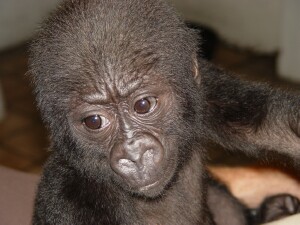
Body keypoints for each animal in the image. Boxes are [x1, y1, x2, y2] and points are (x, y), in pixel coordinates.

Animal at [29, 0, 300, 225]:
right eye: (94, 121)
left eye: (143, 105)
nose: (135, 155)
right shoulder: (67, 199)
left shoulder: (201, 87)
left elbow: (274, 125)